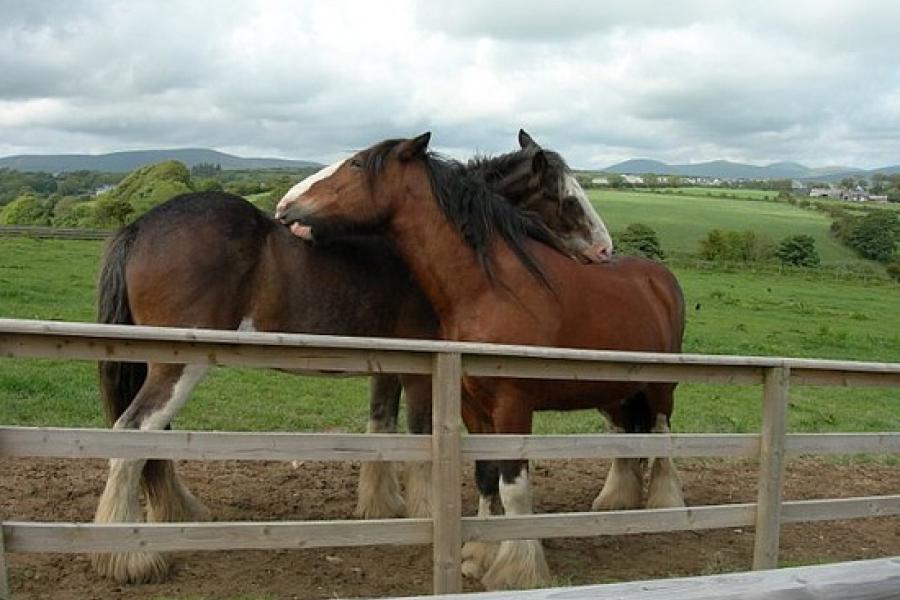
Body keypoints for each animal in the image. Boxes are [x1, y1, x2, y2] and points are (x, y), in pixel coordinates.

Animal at [93, 130, 612, 580]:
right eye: (568, 198)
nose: (605, 249)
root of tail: (138, 227)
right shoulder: (425, 372)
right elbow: (419, 439)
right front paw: (424, 514)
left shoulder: (388, 365)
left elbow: (381, 429)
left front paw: (382, 508)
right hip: (179, 364)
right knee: (134, 431)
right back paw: (130, 559)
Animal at [278, 134, 684, 588]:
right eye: (565, 197)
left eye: (357, 164)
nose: (285, 205)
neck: (492, 289)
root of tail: (659, 279)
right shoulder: (472, 404)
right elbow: (487, 476)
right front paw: (479, 555)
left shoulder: (513, 405)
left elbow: (514, 485)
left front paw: (518, 569)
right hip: (615, 394)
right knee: (628, 439)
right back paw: (617, 502)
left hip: (660, 389)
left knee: (663, 438)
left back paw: (665, 507)